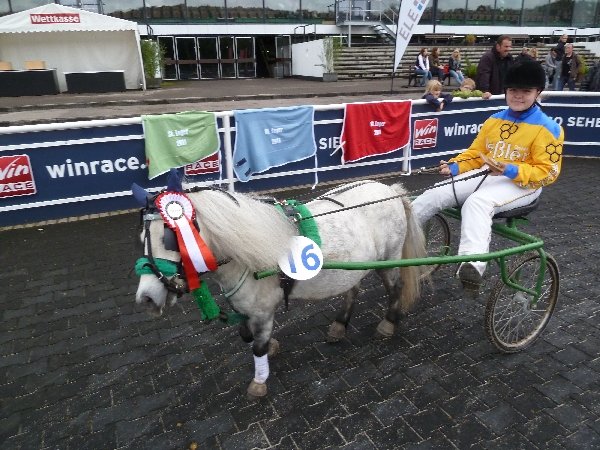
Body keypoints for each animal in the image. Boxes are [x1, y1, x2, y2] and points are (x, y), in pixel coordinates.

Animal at [133, 174, 428, 398]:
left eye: (170, 239)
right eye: (142, 239)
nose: (146, 298)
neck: (246, 251)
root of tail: (390, 191)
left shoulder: (264, 310)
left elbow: (257, 346)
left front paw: (259, 382)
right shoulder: (245, 308)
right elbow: (247, 335)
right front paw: (271, 347)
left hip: (388, 260)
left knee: (395, 288)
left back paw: (388, 323)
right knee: (353, 289)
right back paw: (340, 324)